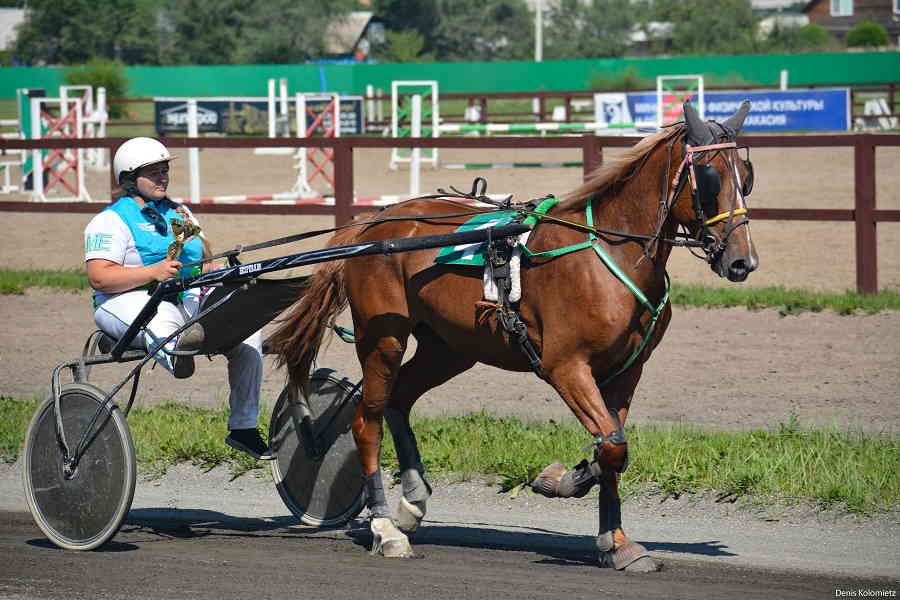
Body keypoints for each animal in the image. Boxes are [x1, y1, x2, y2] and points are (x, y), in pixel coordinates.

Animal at [268, 102, 760, 572]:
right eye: (710, 177)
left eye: (746, 176)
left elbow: (614, 449)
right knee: (365, 421)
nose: (743, 262)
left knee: (400, 398)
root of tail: (374, 224)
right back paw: (386, 527)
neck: (608, 253)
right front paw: (563, 479)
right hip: (383, 338)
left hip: (450, 348)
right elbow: (612, 448)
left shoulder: (626, 373)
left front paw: (616, 544)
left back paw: (412, 501)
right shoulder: (566, 366)